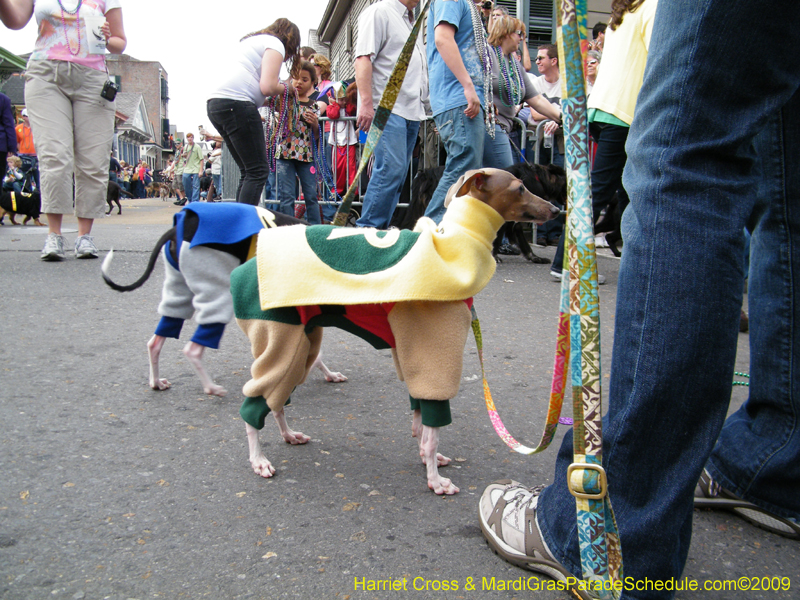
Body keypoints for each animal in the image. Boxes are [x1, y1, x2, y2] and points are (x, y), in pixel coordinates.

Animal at [228, 168, 560, 492]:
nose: (557, 209)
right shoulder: (435, 356)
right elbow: (432, 429)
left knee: (277, 400)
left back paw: (289, 435)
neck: (455, 244)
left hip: (303, 346)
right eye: (520, 188)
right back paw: (258, 460)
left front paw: (428, 459)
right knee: (254, 406)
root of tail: (244, 270)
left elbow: (420, 422)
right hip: (281, 340)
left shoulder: (414, 355)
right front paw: (435, 481)